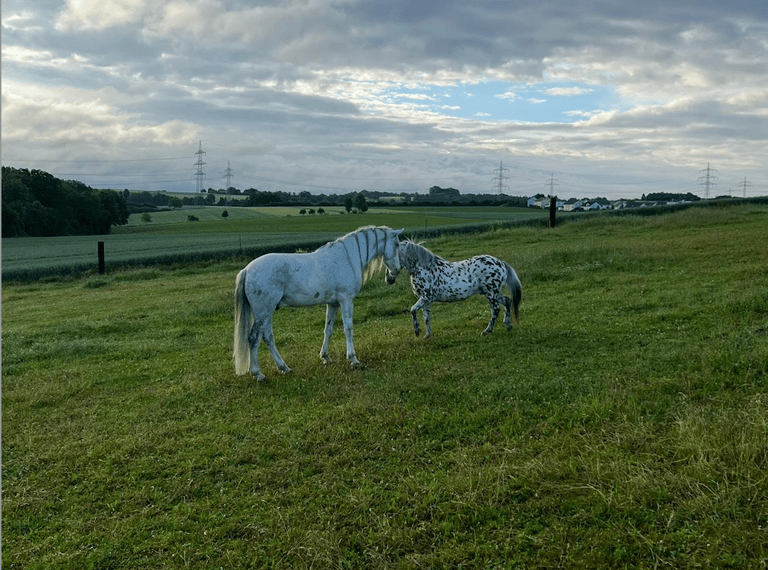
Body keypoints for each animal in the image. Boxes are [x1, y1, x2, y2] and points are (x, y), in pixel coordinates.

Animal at [234, 226, 404, 381]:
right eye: (396, 244)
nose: (395, 273)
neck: (348, 257)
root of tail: (247, 270)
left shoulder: (333, 303)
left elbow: (328, 329)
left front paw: (325, 357)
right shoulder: (346, 300)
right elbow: (348, 328)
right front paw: (353, 359)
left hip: (266, 312)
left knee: (268, 337)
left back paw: (284, 367)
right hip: (263, 312)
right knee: (253, 338)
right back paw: (258, 374)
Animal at [388, 240, 521, 338]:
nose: (389, 280)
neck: (424, 269)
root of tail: (501, 264)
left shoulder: (426, 297)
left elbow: (413, 310)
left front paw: (417, 331)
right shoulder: (425, 300)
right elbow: (426, 317)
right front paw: (427, 335)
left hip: (491, 293)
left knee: (496, 310)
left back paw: (487, 331)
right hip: (492, 293)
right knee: (507, 301)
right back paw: (507, 326)